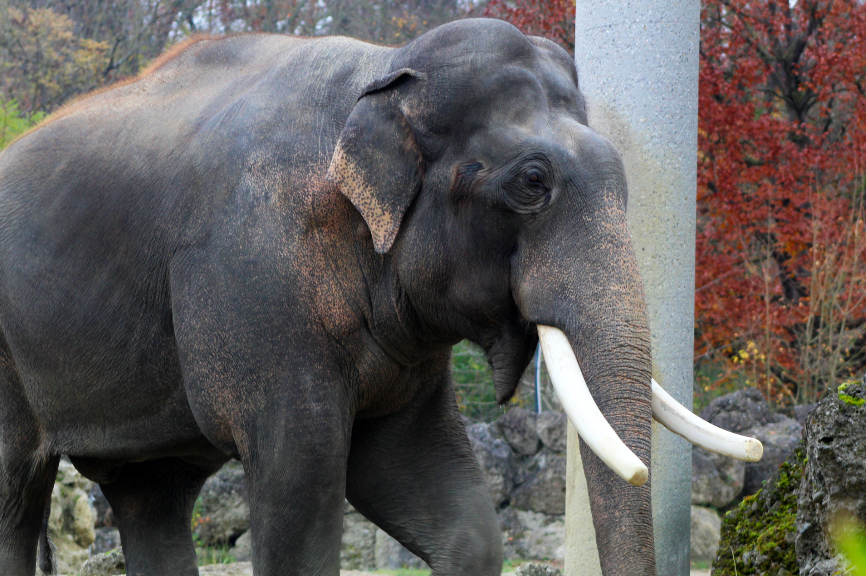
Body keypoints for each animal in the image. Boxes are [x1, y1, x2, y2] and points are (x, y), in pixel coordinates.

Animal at [0, 18, 761, 576]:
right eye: (532, 182)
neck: (382, 74)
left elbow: (444, 503)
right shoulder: (252, 278)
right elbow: (302, 480)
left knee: (151, 495)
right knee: (17, 496)